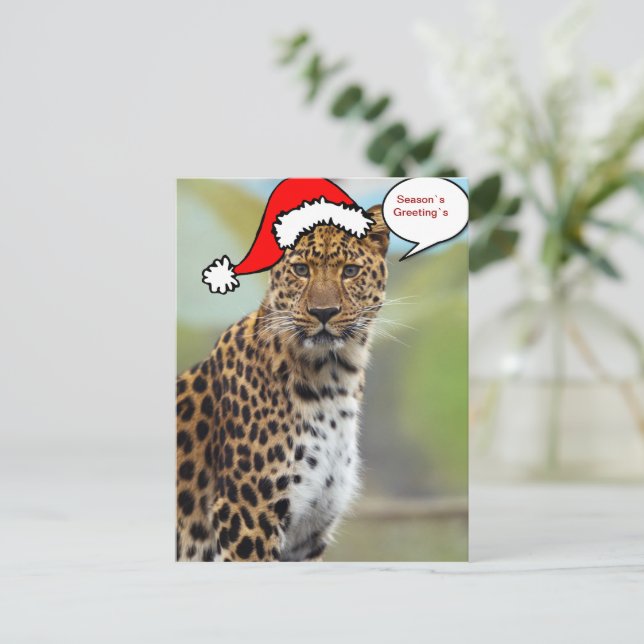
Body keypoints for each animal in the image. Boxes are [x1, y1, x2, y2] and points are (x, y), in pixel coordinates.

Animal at [176, 206, 389, 561]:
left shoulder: (309, 533)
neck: (333, 380)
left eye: (350, 271)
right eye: (301, 269)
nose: (324, 312)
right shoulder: (247, 516)